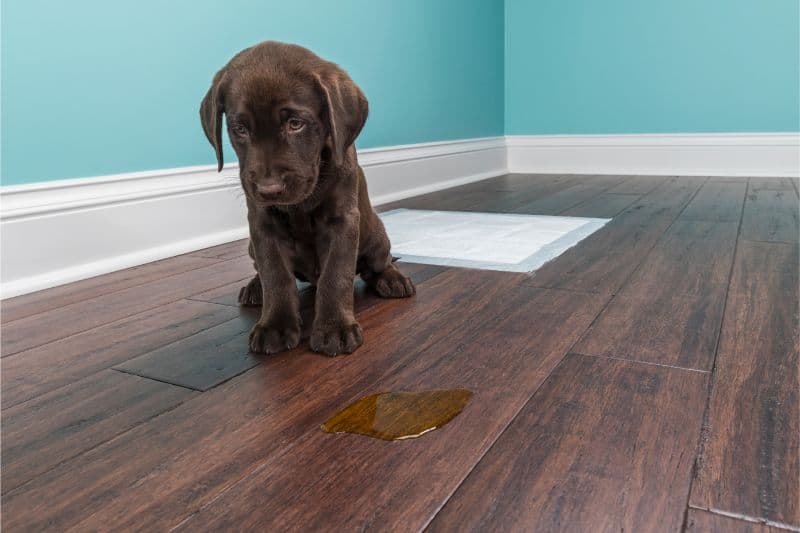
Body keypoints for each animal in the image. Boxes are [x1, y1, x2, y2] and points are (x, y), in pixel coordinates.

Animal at [200, 40, 416, 354]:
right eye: (240, 129)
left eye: (295, 124)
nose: (268, 189)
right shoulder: (262, 225)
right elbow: (275, 274)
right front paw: (275, 325)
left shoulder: (343, 220)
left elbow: (336, 274)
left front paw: (335, 328)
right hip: (251, 246)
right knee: (263, 270)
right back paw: (255, 287)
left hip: (375, 233)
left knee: (378, 263)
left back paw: (393, 279)